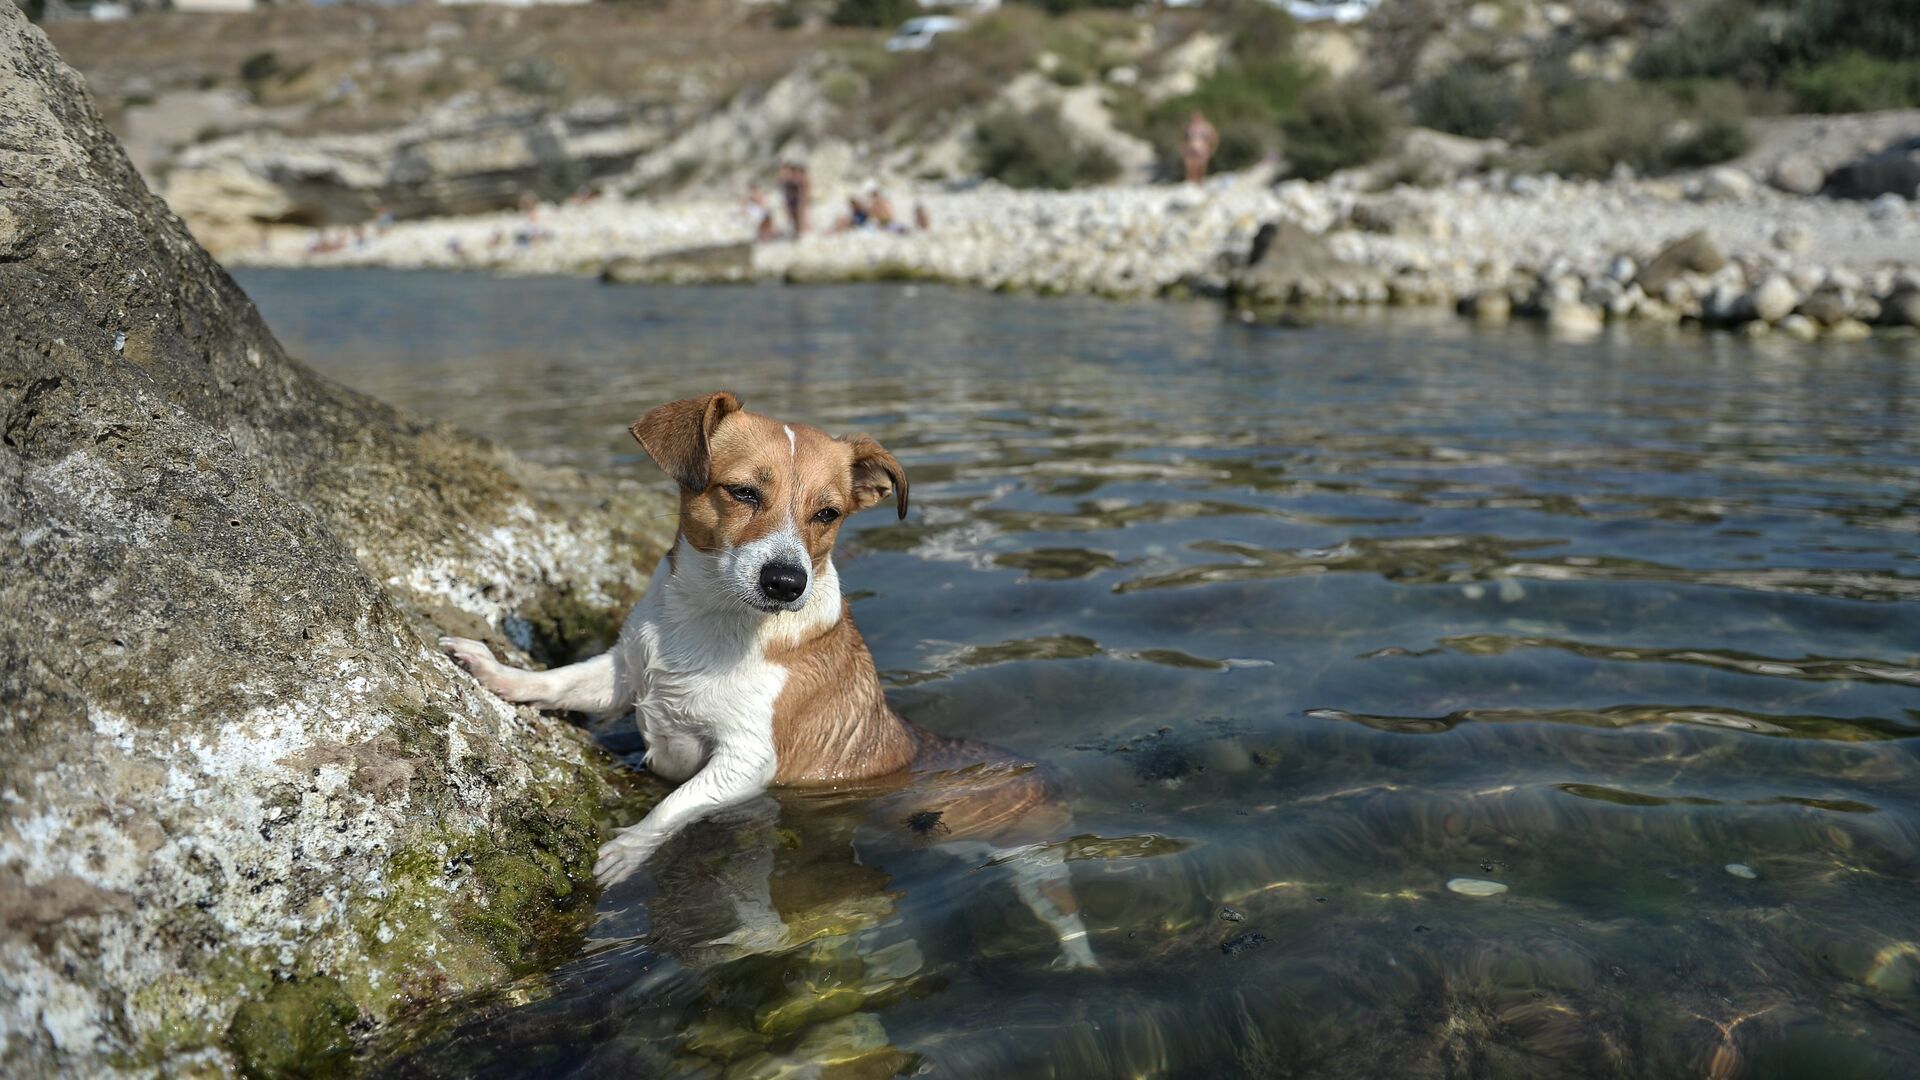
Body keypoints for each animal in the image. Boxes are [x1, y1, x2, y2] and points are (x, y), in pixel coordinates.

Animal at [439, 390, 1098, 960]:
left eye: (827, 514)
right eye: (742, 493)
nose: (786, 582)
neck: (712, 623)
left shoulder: (747, 760)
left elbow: (675, 807)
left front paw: (629, 849)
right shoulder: (624, 676)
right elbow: (559, 680)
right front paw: (496, 672)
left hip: (1028, 859)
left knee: (1062, 910)